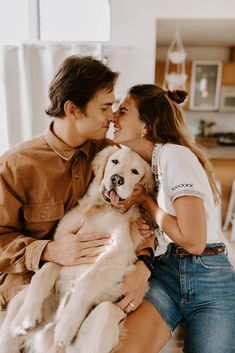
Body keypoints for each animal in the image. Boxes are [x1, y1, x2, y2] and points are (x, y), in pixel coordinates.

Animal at [0, 145, 155, 352]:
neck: (102, 207)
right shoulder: (65, 246)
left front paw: (65, 327)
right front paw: (24, 319)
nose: (116, 179)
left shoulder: (117, 254)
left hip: (106, 313)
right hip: (15, 305)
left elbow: (86, 282)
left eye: (135, 171)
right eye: (115, 161)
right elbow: (42, 274)